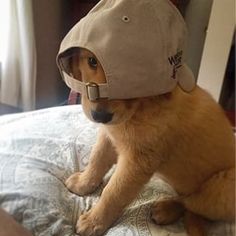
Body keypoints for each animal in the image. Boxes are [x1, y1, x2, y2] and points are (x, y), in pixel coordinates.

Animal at [64, 48, 234, 236]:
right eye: (92, 61)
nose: (100, 116)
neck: (140, 108)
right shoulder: (109, 136)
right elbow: (97, 160)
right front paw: (83, 183)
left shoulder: (138, 161)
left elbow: (113, 191)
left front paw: (94, 221)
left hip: (224, 186)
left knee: (191, 203)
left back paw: (166, 209)